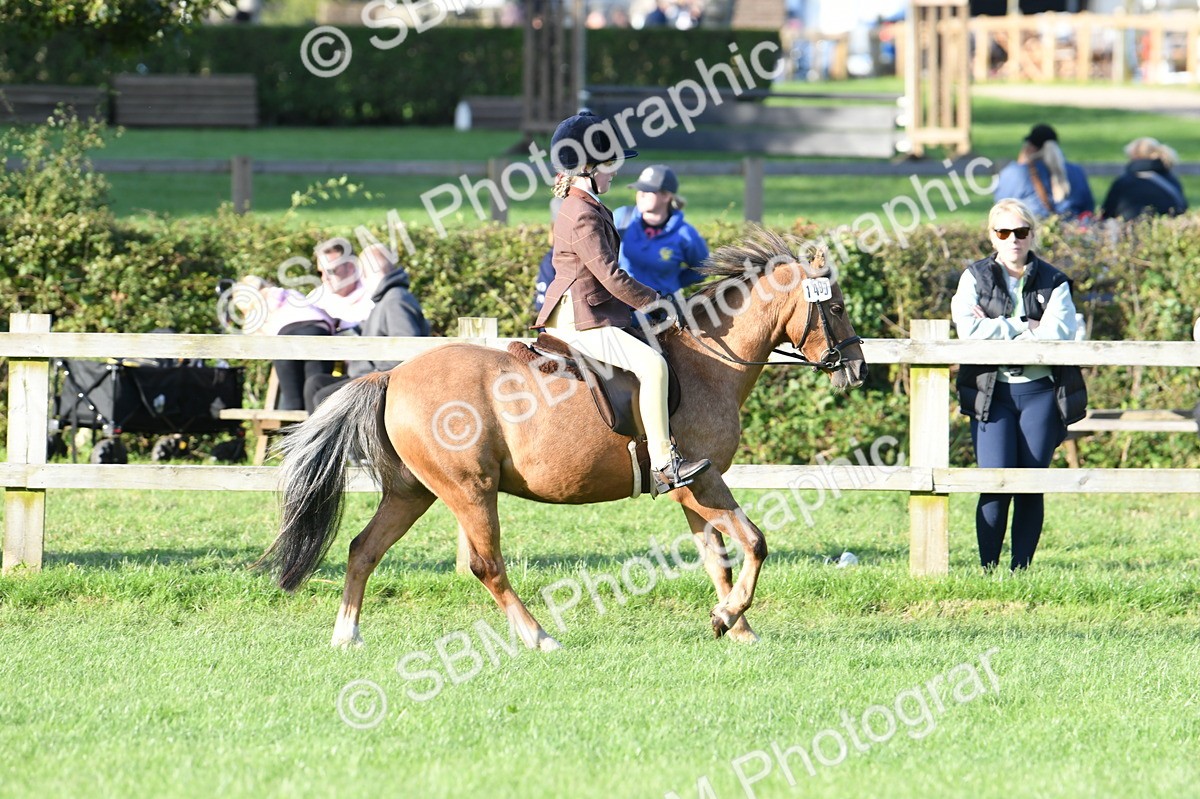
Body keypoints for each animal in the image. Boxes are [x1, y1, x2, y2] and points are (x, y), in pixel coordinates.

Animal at [257, 229, 868, 649]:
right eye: (836, 307)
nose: (856, 369)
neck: (708, 362)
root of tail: (394, 375)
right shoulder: (702, 481)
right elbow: (755, 541)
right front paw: (729, 618)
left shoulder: (691, 488)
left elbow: (717, 557)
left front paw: (735, 626)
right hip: (469, 490)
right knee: (486, 566)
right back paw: (538, 637)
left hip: (414, 491)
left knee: (363, 549)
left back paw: (347, 636)